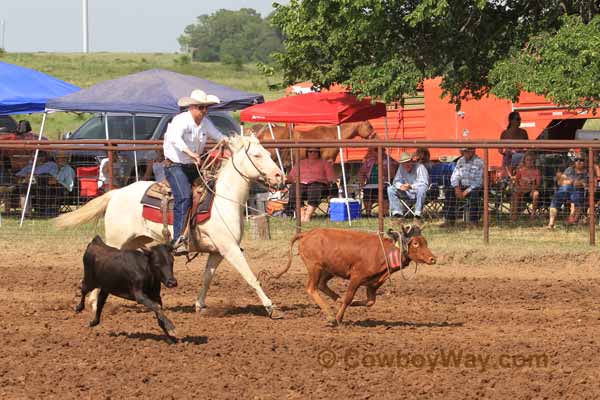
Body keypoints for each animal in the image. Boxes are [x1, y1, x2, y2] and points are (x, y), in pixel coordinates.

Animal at [54, 134, 286, 318]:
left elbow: (207, 278)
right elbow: (251, 277)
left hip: (133, 241)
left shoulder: (217, 252)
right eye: (257, 155)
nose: (279, 176)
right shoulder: (230, 249)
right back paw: (94, 304)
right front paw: (271, 308)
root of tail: (116, 193)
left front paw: (199, 306)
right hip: (116, 240)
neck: (223, 199)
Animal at [268, 227, 436, 326]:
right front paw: (338, 318)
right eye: (415, 243)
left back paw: (336, 300)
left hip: (329, 269)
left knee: (321, 284)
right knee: (311, 288)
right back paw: (330, 316)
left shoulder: (373, 283)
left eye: (425, 242)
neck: (384, 253)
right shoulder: (357, 277)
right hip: (314, 267)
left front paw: (345, 304)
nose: (433, 259)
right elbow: (349, 298)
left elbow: (370, 302)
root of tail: (307, 233)